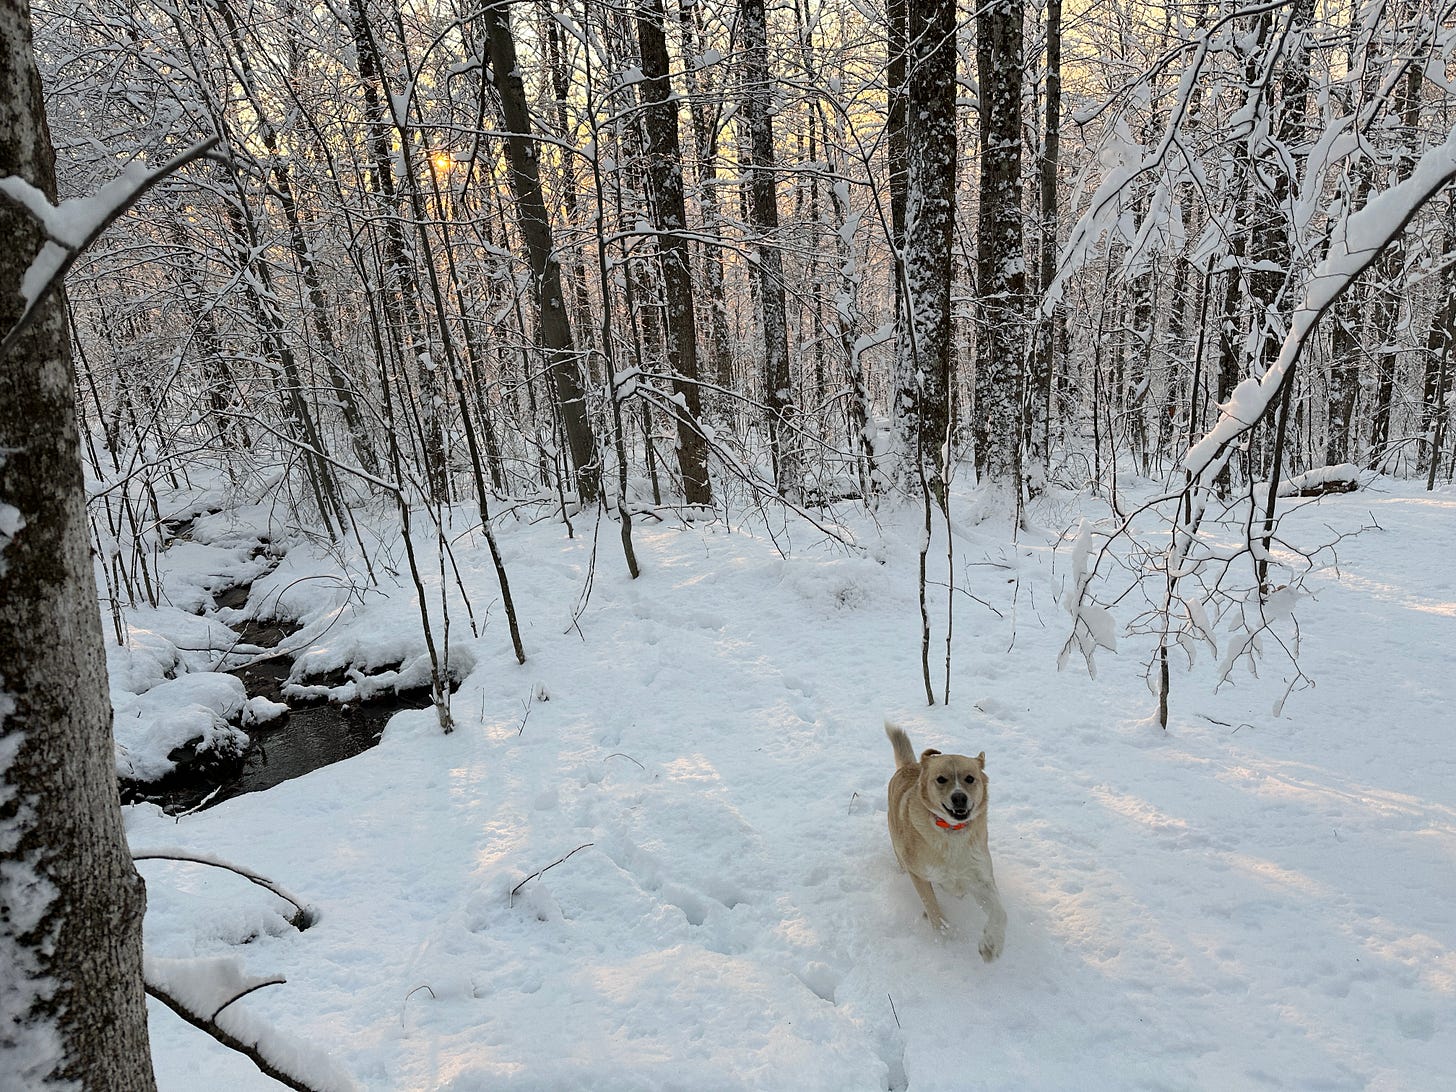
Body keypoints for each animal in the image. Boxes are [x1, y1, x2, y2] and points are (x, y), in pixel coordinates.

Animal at [879, 722, 1007, 960]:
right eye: (941, 779)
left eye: (969, 778)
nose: (959, 797)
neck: (951, 833)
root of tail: (909, 765)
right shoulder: (919, 873)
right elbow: (933, 908)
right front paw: (947, 936)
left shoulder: (979, 877)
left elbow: (1000, 913)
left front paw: (991, 944)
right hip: (900, 853)